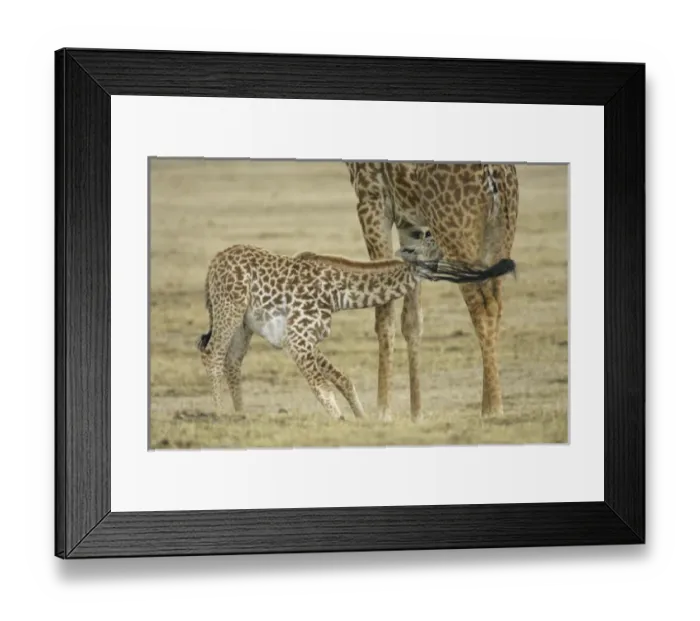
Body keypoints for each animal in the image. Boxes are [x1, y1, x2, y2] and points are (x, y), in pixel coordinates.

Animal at [195, 232, 515, 421]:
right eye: (432, 252)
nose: (497, 267)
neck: (339, 294)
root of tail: (212, 263)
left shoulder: (304, 339)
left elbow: (342, 379)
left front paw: (362, 420)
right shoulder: (298, 339)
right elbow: (324, 388)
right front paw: (341, 422)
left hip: (243, 324)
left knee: (232, 361)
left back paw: (241, 416)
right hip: (229, 308)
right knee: (213, 355)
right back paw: (221, 416)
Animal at [344, 161, 519, 421]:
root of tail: (494, 173)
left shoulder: (371, 198)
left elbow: (384, 312)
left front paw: (383, 411)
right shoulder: (409, 220)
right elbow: (412, 319)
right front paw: (416, 414)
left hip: (456, 232)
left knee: (482, 306)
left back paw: (494, 409)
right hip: (501, 233)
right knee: (496, 304)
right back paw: (487, 405)